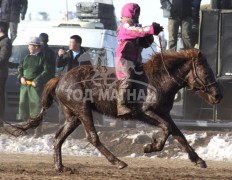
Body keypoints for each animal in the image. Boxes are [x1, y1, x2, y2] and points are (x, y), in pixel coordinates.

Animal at [9, 48, 223, 172]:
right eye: (206, 71)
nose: (218, 95)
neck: (160, 79)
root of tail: (60, 78)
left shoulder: (164, 114)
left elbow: (179, 135)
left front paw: (198, 160)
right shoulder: (146, 113)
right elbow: (168, 129)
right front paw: (151, 146)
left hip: (73, 116)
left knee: (58, 137)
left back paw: (60, 167)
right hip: (83, 110)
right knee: (92, 137)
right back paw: (118, 162)